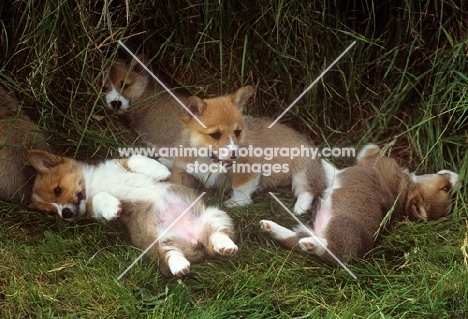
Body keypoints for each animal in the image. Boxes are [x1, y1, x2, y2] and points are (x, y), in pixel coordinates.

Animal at [27, 151, 236, 276]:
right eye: (52, 211)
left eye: (57, 190)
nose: (66, 214)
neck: (94, 182)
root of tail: (195, 240)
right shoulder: (93, 209)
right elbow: (100, 199)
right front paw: (112, 207)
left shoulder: (121, 163)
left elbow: (137, 158)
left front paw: (161, 170)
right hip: (158, 242)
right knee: (170, 253)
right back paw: (180, 266)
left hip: (215, 215)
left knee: (218, 235)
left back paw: (226, 246)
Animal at [262, 145, 458, 264]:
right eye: (446, 188)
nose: (460, 178)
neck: (406, 189)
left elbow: (364, 152)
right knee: (291, 238)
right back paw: (269, 227)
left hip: (339, 224)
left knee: (324, 247)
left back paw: (309, 244)